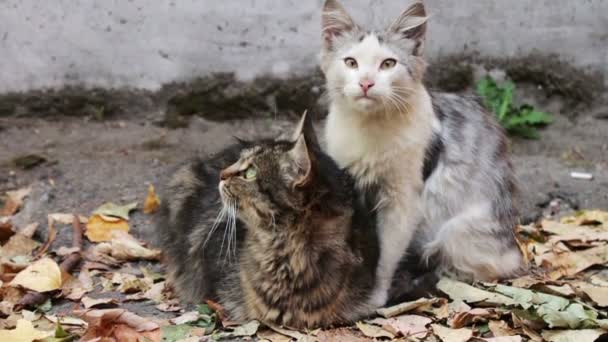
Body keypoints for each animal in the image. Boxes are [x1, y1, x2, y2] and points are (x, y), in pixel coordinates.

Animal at [320, 0, 524, 306]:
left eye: (388, 64)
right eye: (351, 63)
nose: (366, 83)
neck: (368, 129)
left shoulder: (403, 203)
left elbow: (385, 258)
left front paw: (374, 298)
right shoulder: (348, 185)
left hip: (458, 230)